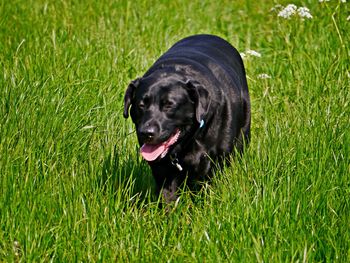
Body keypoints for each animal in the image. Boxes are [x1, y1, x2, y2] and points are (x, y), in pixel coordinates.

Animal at [124, 34, 250, 204]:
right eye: (141, 105)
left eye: (169, 105)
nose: (147, 132)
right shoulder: (162, 170)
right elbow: (168, 196)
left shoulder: (214, 163)